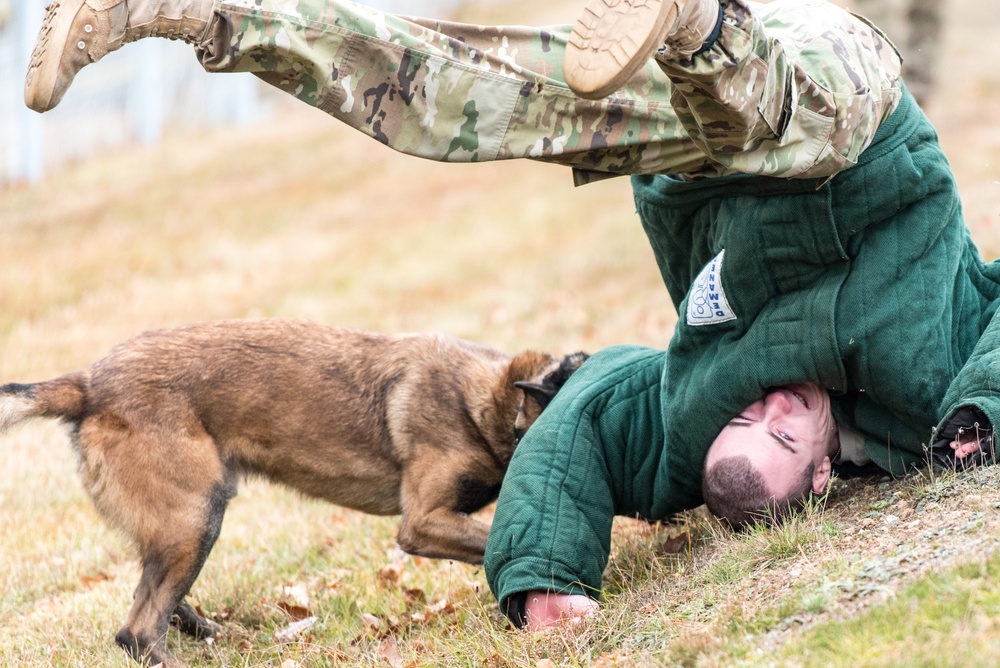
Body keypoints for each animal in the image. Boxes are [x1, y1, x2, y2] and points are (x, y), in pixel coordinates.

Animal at [0, 320, 584, 664]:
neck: (490, 403)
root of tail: (87, 383)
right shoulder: (422, 522)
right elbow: (494, 542)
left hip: (186, 523)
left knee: (154, 599)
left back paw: (205, 630)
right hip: (195, 518)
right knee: (138, 631)